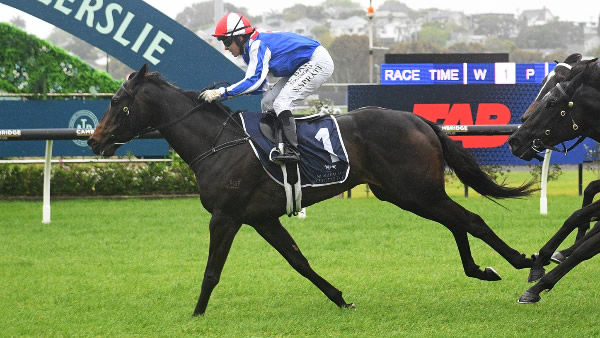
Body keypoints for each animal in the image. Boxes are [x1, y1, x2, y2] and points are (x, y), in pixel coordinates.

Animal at [88, 64, 536, 316]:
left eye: (117, 101)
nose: (94, 141)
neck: (218, 142)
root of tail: (421, 120)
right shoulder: (261, 218)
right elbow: (299, 262)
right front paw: (340, 299)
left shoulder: (226, 217)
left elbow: (212, 271)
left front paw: (195, 315)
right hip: (406, 193)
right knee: (457, 222)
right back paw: (481, 269)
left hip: (415, 191)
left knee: (471, 219)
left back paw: (522, 260)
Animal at [508, 56, 600, 302]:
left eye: (551, 102)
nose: (514, 140)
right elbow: (577, 214)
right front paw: (543, 260)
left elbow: (586, 244)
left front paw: (537, 285)